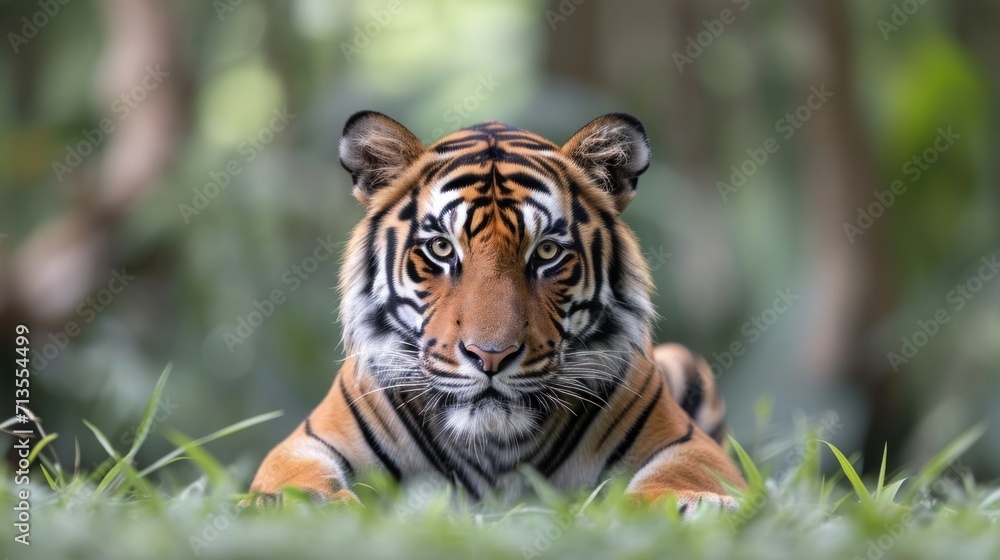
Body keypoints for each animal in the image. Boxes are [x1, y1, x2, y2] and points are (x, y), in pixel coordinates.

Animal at [249, 111, 746, 514]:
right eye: (441, 248)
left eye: (546, 251)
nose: (491, 356)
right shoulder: (307, 443)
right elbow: (295, 480)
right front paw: (298, 505)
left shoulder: (686, 445)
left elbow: (683, 476)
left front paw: (697, 504)